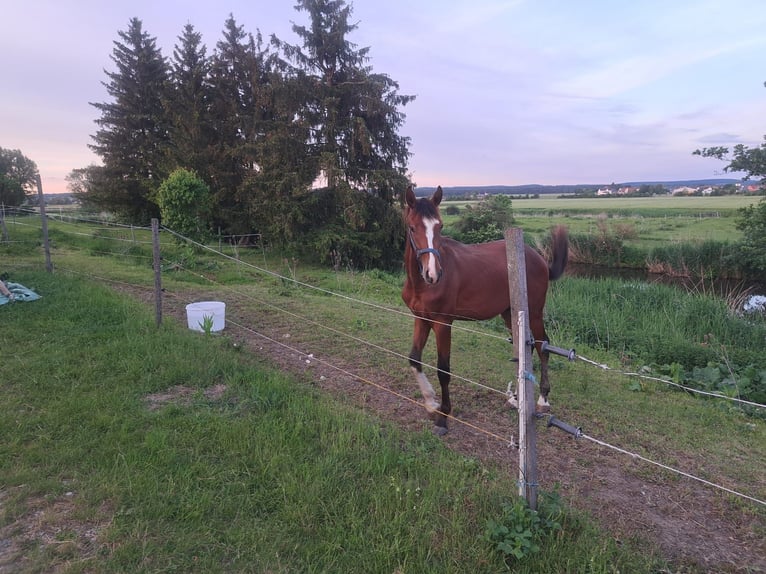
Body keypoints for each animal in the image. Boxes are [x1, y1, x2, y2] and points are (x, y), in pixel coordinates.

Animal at [401, 185, 568, 434]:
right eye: (413, 227)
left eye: (440, 226)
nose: (433, 274)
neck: (421, 285)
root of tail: (538, 258)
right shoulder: (421, 318)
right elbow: (414, 359)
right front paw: (431, 404)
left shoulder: (442, 323)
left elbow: (443, 369)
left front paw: (443, 416)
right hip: (510, 314)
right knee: (524, 350)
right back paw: (517, 398)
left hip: (535, 313)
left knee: (542, 346)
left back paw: (543, 399)